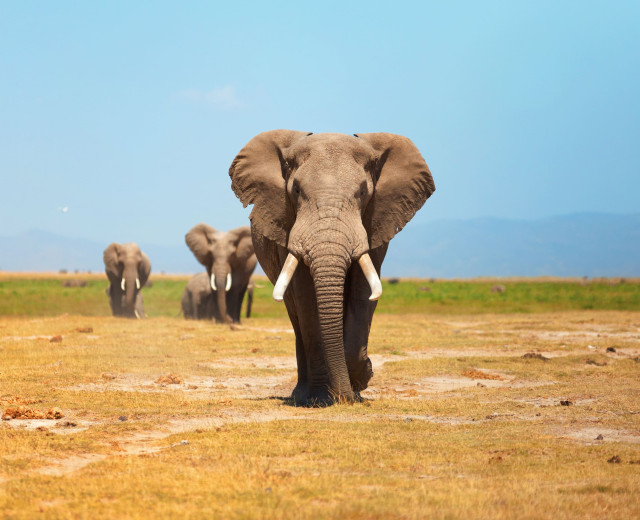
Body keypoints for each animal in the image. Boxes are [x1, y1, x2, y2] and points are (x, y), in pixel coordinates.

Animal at [230, 130, 436, 406]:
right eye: (296, 190)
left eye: (363, 191)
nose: (346, 397)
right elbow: (307, 300)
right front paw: (322, 397)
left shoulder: (374, 223)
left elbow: (363, 294)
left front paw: (360, 380)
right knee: (296, 319)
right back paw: (302, 394)